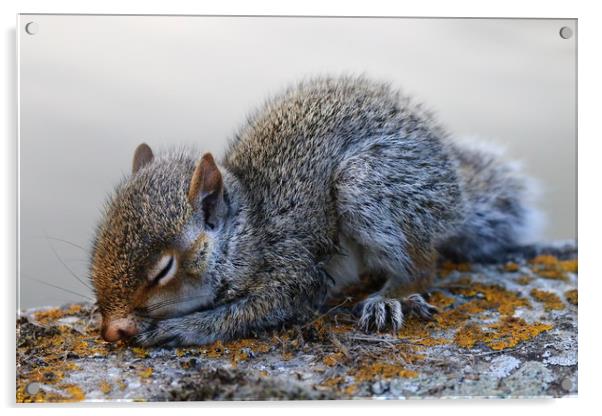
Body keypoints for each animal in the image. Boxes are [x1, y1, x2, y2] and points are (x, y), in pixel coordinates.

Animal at [89, 76, 540, 346]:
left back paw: (389, 298)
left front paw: (179, 329)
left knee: (422, 266)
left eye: (164, 269)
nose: (112, 331)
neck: (248, 232)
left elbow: (249, 312)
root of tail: (455, 198)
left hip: (367, 185)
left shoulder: (293, 268)